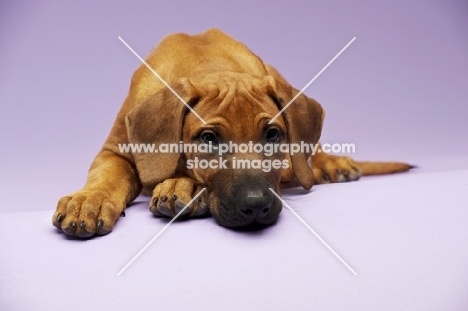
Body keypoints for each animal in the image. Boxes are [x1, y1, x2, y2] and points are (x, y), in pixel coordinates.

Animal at [52, 29, 410, 239]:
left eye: (273, 135)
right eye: (209, 138)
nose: (256, 207)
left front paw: (182, 186)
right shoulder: (114, 149)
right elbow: (108, 175)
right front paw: (89, 201)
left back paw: (330, 164)